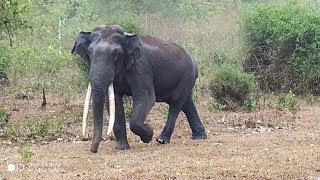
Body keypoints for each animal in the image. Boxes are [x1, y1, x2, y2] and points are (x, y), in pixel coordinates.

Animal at [71, 24, 208, 153]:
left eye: (116, 54)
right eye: (89, 52)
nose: (93, 150)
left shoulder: (141, 68)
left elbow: (146, 98)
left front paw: (148, 136)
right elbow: (114, 102)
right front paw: (121, 148)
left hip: (187, 75)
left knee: (176, 103)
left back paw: (161, 140)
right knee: (186, 103)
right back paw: (199, 137)